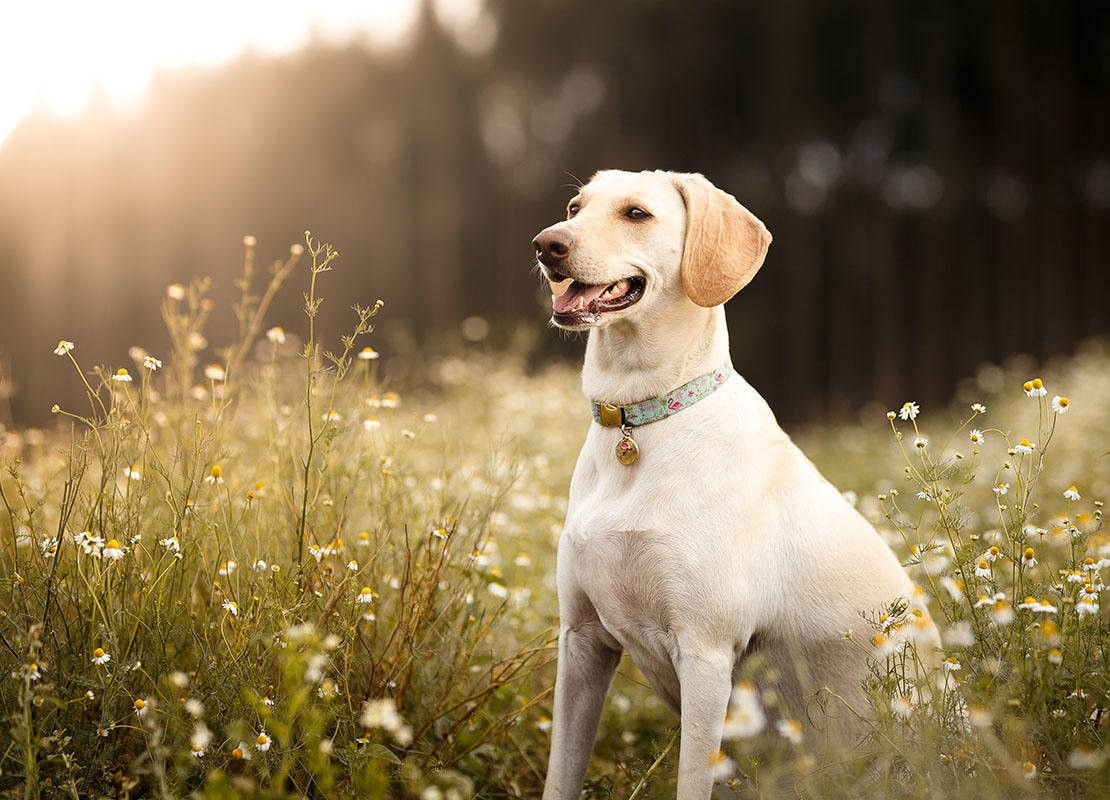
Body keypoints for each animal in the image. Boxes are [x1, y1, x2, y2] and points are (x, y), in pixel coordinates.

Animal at [528, 169, 936, 798]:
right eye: (575, 207)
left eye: (636, 213)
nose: (546, 243)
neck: (639, 420)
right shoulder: (582, 641)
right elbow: (561, 774)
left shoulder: (706, 653)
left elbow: (693, 781)